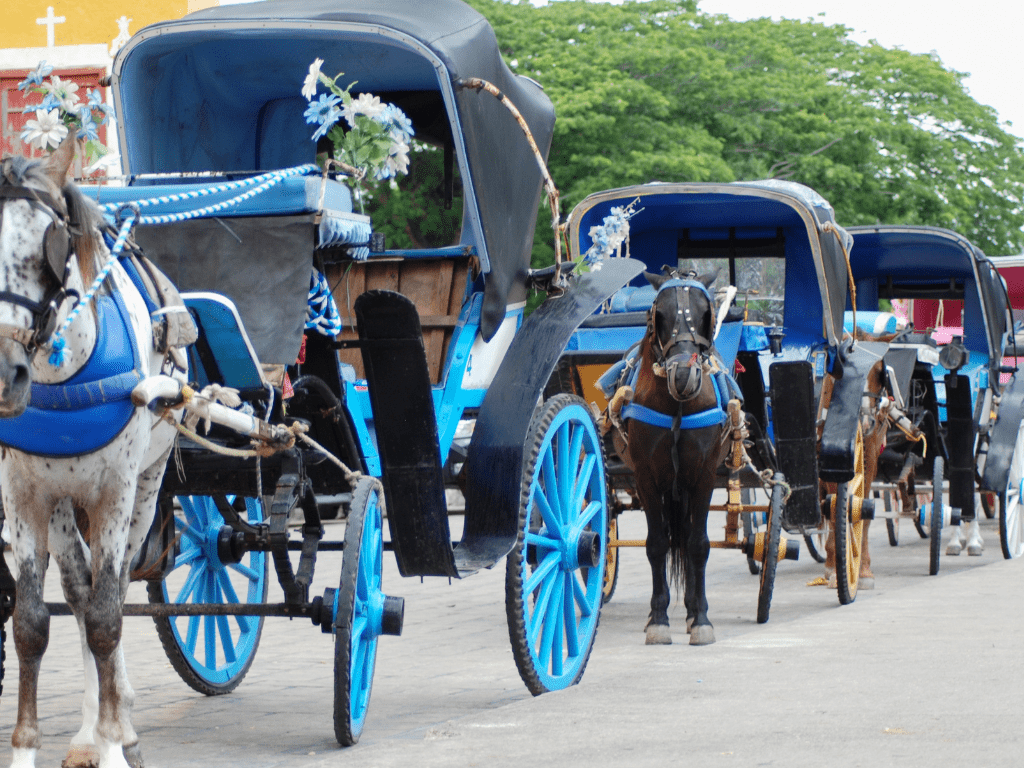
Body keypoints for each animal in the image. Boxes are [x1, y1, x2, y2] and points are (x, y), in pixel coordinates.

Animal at [0, 135, 187, 765]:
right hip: (62, 503)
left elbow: (109, 618)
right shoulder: (23, 495)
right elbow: (32, 623)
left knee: (117, 589)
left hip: (147, 490)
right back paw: (88, 727)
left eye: (48, 246)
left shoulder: (115, 491)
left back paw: (117, 724)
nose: (4, 373)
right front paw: (28, 750)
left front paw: (112, 745)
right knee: (79, 592)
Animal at [610, 270, 733, 643]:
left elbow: (698, 544)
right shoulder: (646, 477)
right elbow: (657, 544)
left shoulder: (704, 475)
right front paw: (658, 619)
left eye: (706, 314)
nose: (683, 375)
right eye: (658, 315)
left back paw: (692, 611)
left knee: (691, 536)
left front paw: (701, 618)